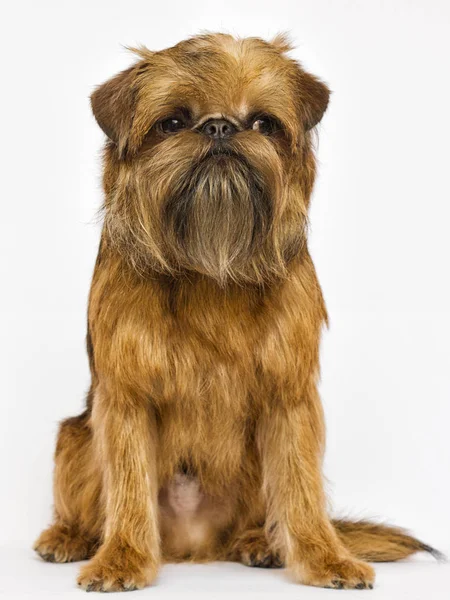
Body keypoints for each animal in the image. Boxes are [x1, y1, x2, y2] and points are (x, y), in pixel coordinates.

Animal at [34, 32, 440, 592]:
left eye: (263, 122)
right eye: (173, 123)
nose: (220, 125)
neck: (211, 269)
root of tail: (192, 545)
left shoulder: (291, 400)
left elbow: (301, 487)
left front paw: (324, 557)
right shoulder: (125, 402)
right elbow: (130, 484)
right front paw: (123, 559)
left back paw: (260, 544)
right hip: (74, 436)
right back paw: (70, 537)